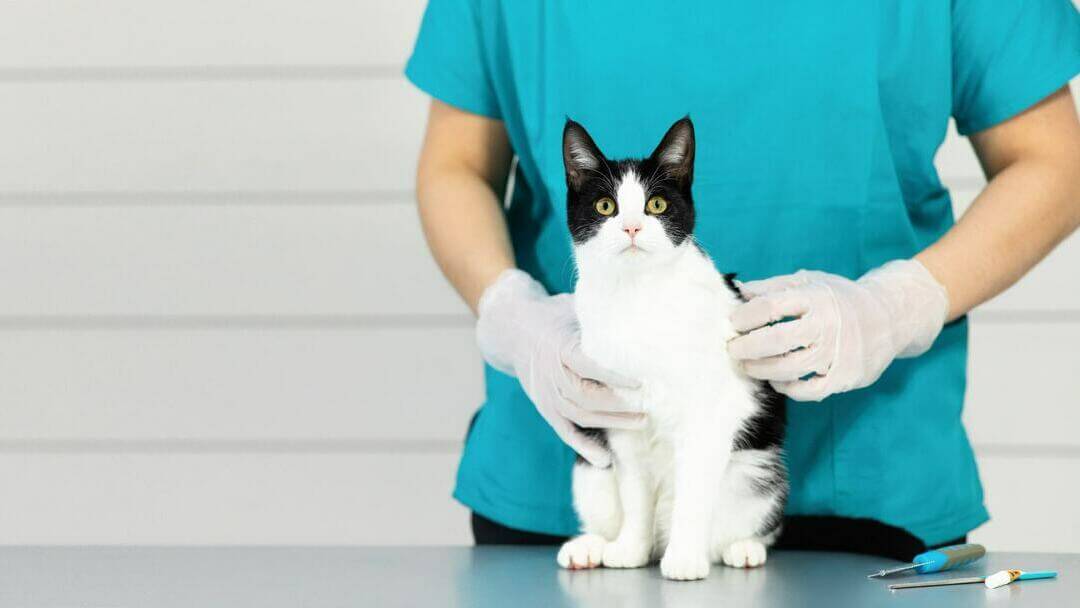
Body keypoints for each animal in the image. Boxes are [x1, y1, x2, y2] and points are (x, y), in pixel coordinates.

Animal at [552, 117, 790, 578]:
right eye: (605, 207)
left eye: (657, 205)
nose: (631, 227)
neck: (639, 297)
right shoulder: (621, 421)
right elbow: (634, 493)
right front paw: (630, 549)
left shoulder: (710, 415)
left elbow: (694, 494)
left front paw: (684, 559)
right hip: (591, 472)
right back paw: (592, 546)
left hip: (756, 471)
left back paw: (740, 548)